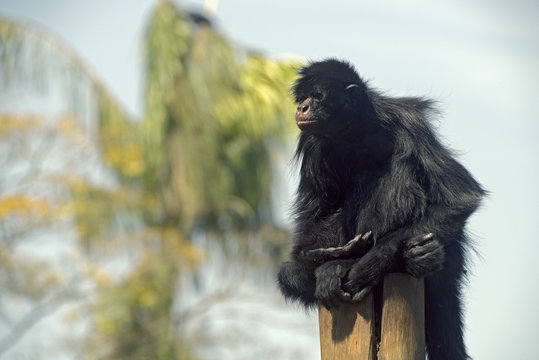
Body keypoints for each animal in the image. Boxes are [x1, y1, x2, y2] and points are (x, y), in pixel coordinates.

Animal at [278, 59, 486, 360]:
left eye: (317, 96)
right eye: (302, 98)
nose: (302, 108)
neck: (356, 135)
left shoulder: (409, 123)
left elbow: (461, 197)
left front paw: (360, 268)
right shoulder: (313, 144)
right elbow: (310, 225)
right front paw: (332, 258)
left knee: (399, 166)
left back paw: (416, 258)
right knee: (289, 273)